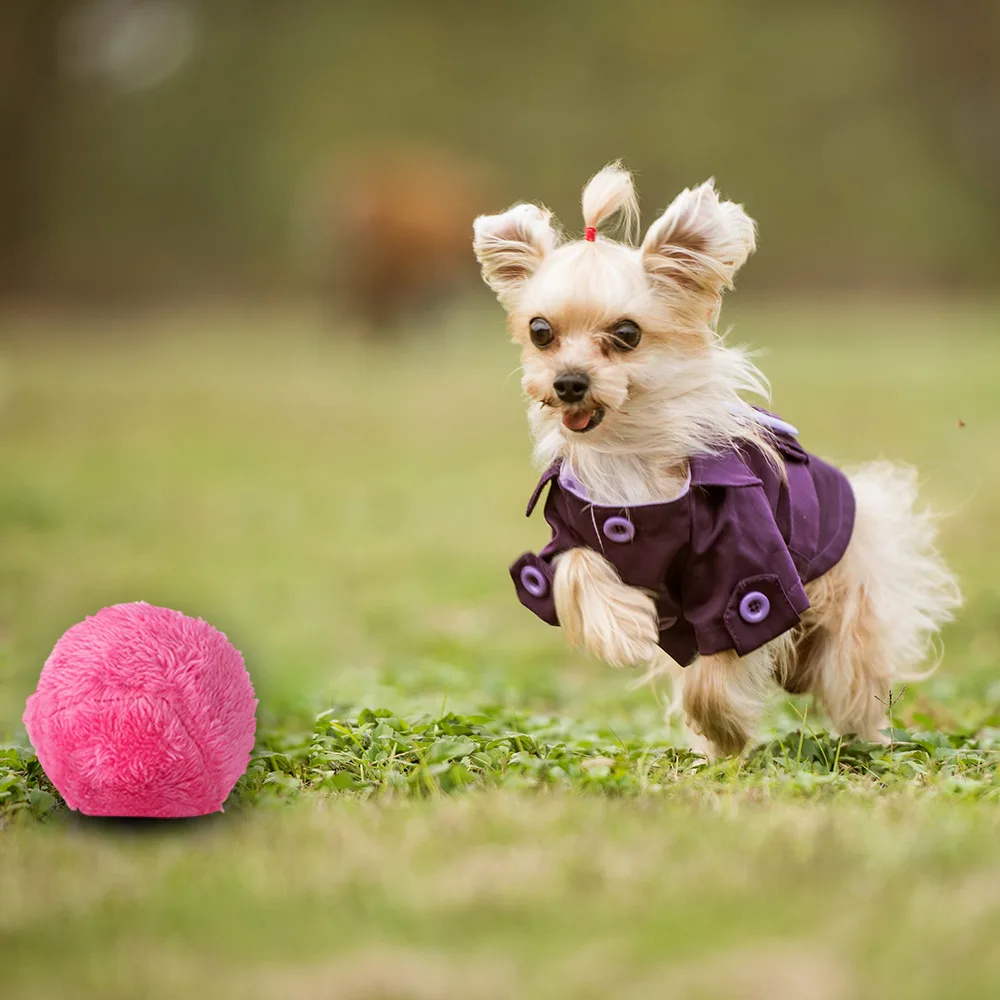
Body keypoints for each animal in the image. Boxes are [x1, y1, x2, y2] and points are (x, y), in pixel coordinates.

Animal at [474, 164, 960, 756]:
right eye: (540, 331)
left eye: (627, 333)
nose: (568, 382)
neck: (628, 455)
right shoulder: (571, 526)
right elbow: (574, 569)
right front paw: (623, 629)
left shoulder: (744, 567)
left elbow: (723, 647)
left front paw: (724, 730)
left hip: (849, 607)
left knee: (852, 676)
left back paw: (864, 735)